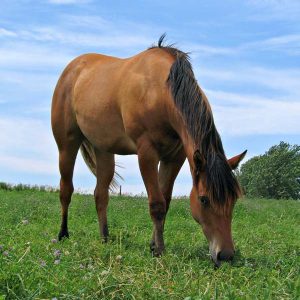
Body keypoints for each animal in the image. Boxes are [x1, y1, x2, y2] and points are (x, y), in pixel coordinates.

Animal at [51, 35, 246, 268]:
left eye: (234, 199)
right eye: (203, 199)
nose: (225, 255)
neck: (160, 92)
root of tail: (72, 69)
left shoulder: (174, 157)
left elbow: (166, 200)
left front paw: (154, 245)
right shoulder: (147, 154)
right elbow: (157, 203)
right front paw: (159, 250)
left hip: (103, 150)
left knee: (100, 195)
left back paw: (105, 238)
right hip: (67, 145)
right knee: (66, 189)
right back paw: (63, 234)